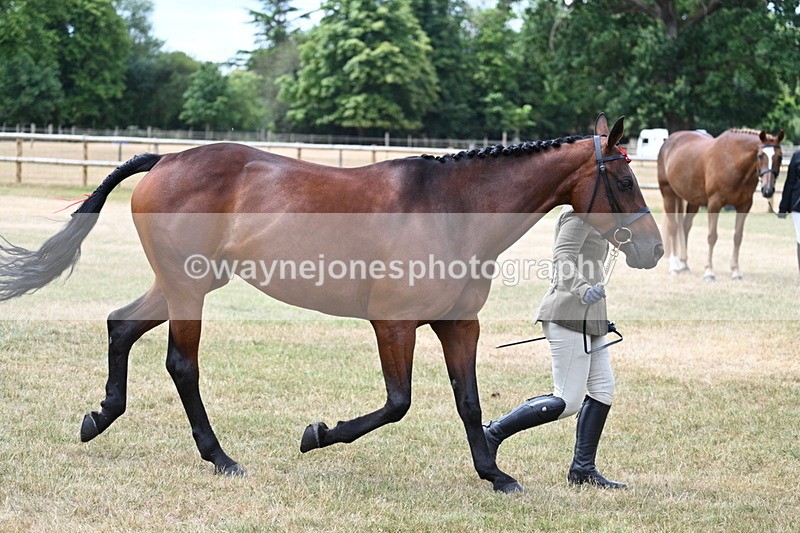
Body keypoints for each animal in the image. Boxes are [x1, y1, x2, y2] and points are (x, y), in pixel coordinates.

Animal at [0, 114, 663, 493]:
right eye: (625, 180)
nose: (654, 249)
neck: (449, 209)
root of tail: (166, 158)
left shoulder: (457, 325)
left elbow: (469, 401)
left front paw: (494, 473)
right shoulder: (393, 323)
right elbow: (397, 403)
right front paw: (317, 434)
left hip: (186, 283)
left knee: (121, 326)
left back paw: (99, 417)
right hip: (190, 291)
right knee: (181, 365)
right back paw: (221, 458)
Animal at [657, 128, 784, 281]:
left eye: (780, 157)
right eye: (760, 156)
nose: (768, 190)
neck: (732, 162)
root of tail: (669, 141)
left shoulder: (744, 206)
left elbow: (738, 237)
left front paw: (736, 271)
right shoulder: (714, 204)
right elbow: (712, 237)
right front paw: (709, 272)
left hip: (693, 200)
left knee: (685, 227)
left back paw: (684, 264)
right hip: (668, 194)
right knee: (673, 227)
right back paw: (674, 266)